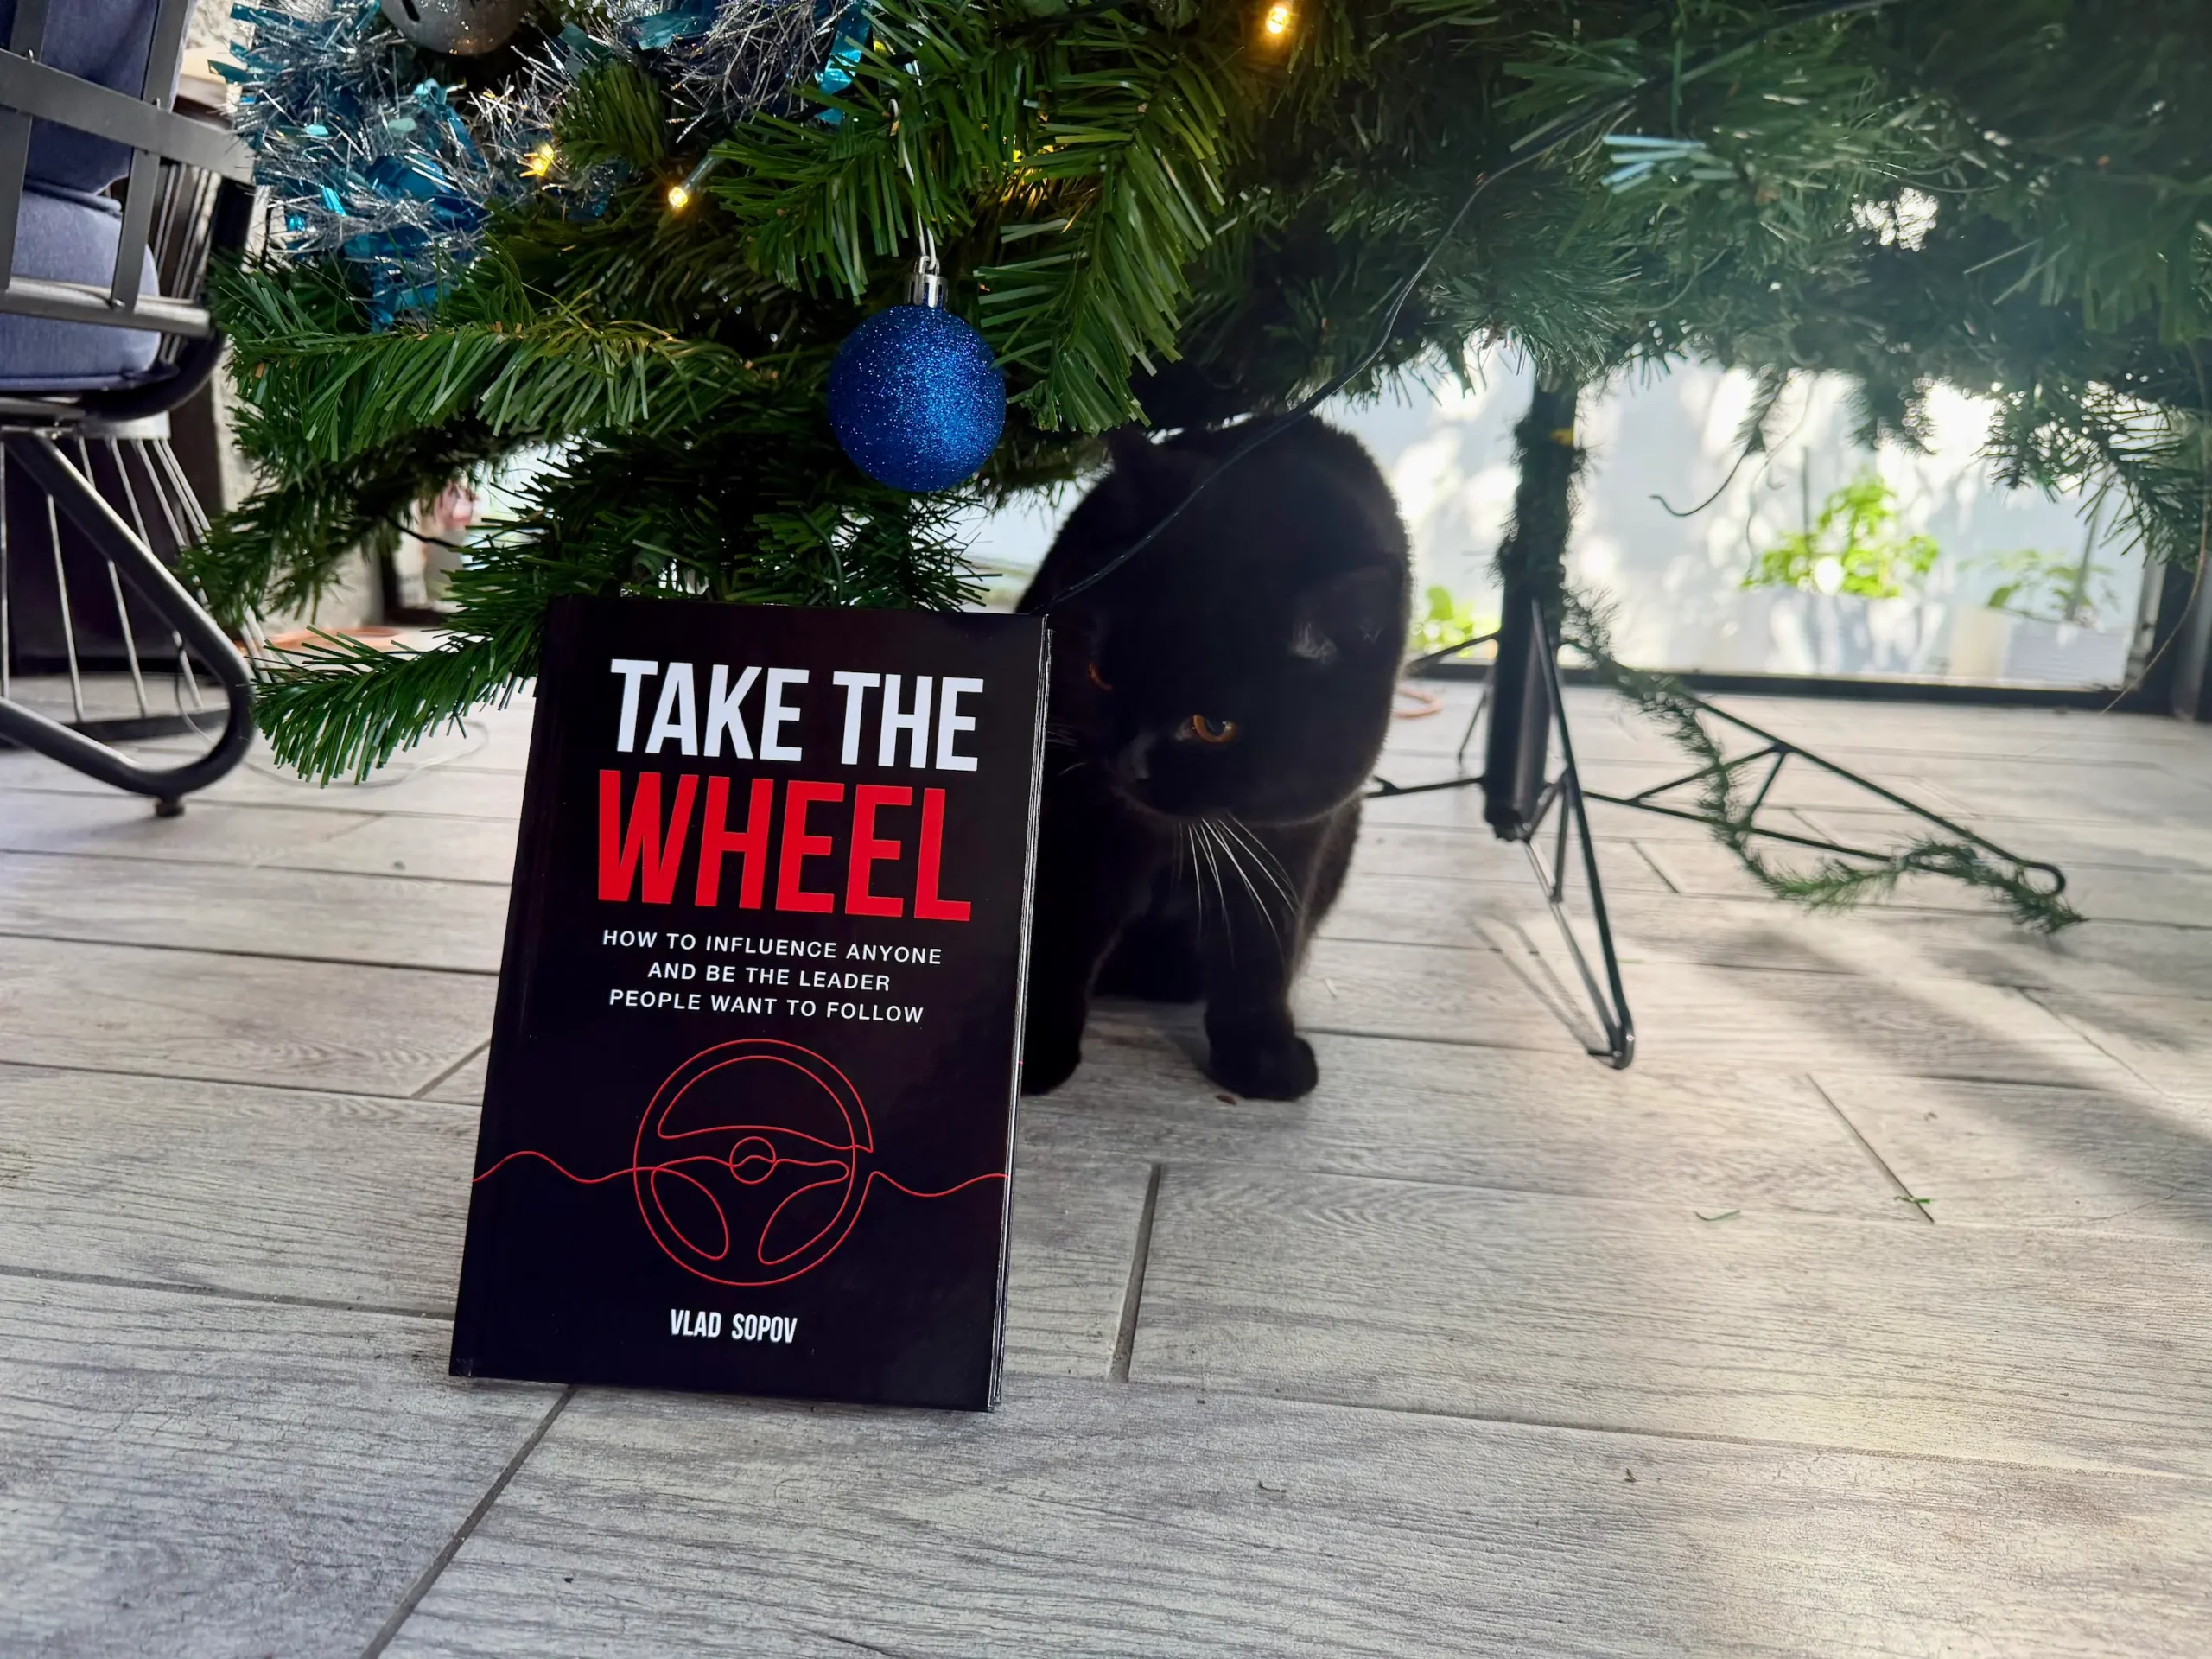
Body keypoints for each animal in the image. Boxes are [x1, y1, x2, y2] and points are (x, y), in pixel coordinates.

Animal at [1017, 416, 1410, 1099]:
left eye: (1213, 726)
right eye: (1100, 676)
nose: (1127, 759)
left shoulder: (1290, 835)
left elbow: (1263, 942)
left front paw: (1262, 1058)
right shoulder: (1084, 817)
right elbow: (1062, 930)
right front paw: (1032, 1053)